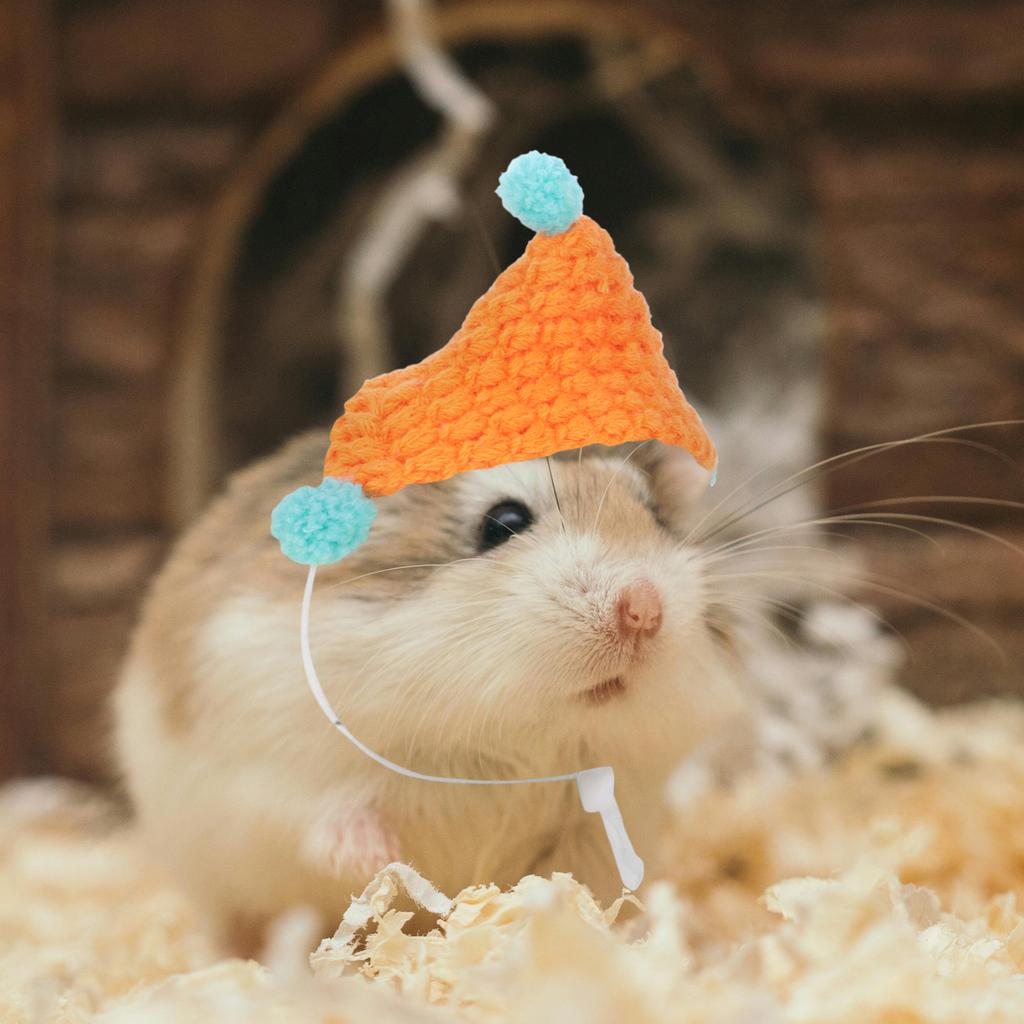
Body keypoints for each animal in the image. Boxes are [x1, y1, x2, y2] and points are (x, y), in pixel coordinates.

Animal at [114, 432, 749, 952]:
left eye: (655, 516)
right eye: (504, 521)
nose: (644, 610)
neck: (518, 735)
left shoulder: (602, 820)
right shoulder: (272, 764)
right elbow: (326, 815)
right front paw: (381, 860)